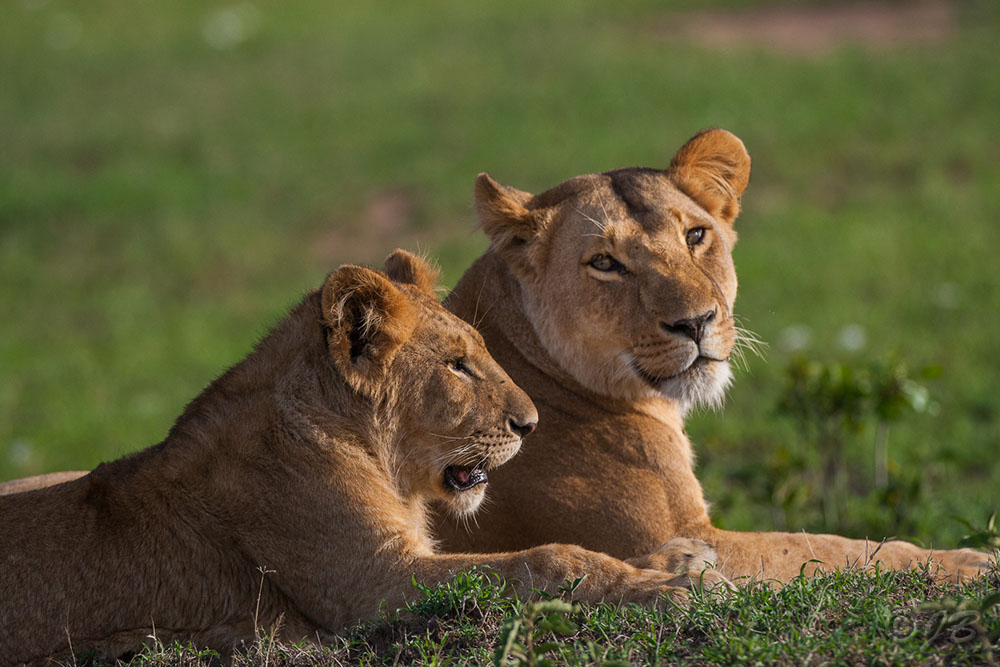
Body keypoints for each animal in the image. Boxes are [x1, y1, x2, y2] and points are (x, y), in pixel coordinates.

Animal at [0, 251, 710, 665]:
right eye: (457, 365)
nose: (529, 424)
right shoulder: (371, 586)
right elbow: (545, 559)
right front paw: (665, 589)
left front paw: (680, 560)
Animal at [428, 128, 993, 583]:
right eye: (605, 263)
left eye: (696, 235)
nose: (696, 322)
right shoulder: (674, 535)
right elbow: (831, 549)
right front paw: (971, 561)